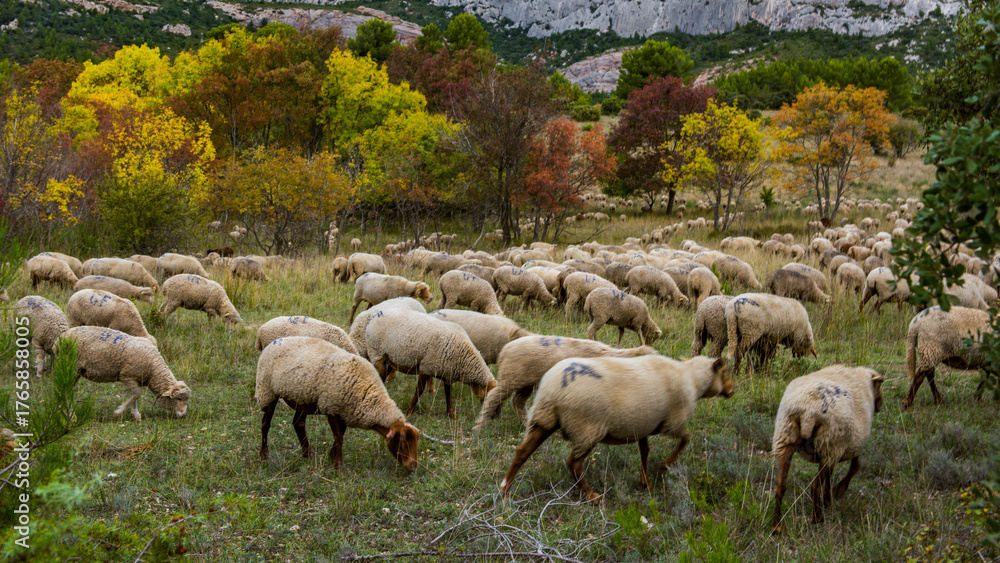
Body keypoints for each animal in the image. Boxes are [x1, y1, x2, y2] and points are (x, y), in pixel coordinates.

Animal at [62, 326, 190, 420]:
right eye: (178, 399)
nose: (183, 415)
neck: (153, 369)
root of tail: (62, 336)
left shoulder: (136, 379)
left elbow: (135, 397)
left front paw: (136, 414)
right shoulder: (127, 376)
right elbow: (136, 394)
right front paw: (118, 412)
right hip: (72, 368)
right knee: (65, 391)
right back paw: (71, 415)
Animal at [255, 336, 420, 471]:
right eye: (402, 440)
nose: (412, 467)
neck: (368, 393)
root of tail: (276, 341)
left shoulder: (345, 410)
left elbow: (340, 434)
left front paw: (331, 455)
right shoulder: (332, 407)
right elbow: (339, 437)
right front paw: (338, 465)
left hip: (302, 397)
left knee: (298, 423)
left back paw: (307, 453)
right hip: (268, 391)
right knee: (265, 424)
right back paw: (264, 455)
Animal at [365, 308, 497, 419]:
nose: (494, 416)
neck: (464, 358)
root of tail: (376, 316)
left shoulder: (447, 372)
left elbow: (448, 392)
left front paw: (451, 413)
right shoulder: (426, 367)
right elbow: (420, 390)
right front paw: (409, 411)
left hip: (387, 359)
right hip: (377, 354)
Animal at [499, 355, 733, 501]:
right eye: (725, 372)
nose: (732, 391)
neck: (692, 380)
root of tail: (554, 388)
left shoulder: (643, 424)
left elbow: (644, 452)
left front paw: (645, 481)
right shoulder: (672, 423)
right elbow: (686, 439)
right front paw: (663, 466)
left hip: (544, 418)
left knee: (522, 452)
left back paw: (505, 490)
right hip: (587, 428)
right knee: (573, 463)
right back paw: (590, 496)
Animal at [771, 365, 884, 532]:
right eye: (879, 386)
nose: (880, 405)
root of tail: (809, 411)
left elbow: (830, 476)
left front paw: (828, 499)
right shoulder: (855, 443)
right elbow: (855, 466)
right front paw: (838, 491)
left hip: (786, 437)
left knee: (780, 486)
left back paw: (777, 527)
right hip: (829, 443)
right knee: (815, 486)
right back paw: (817, 519)